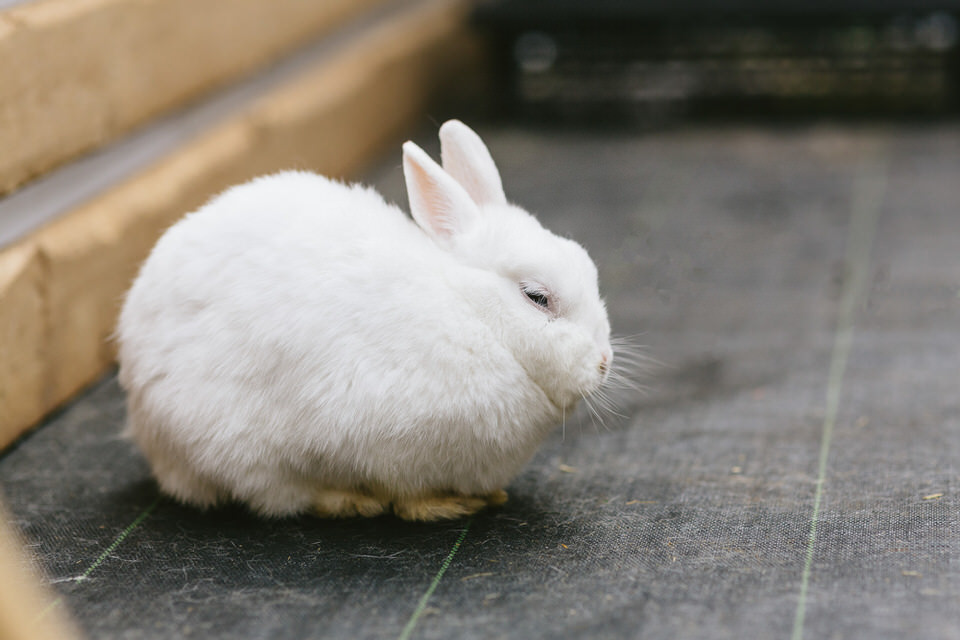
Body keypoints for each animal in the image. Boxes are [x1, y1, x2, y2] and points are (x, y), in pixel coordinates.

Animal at [116, 119, 612, 520]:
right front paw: (443, 506)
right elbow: (405, 495)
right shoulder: (385, 444)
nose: (604, 362)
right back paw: (350, 501)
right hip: (233, 449)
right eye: (537, 297)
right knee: (280, 494)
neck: (472, 312)